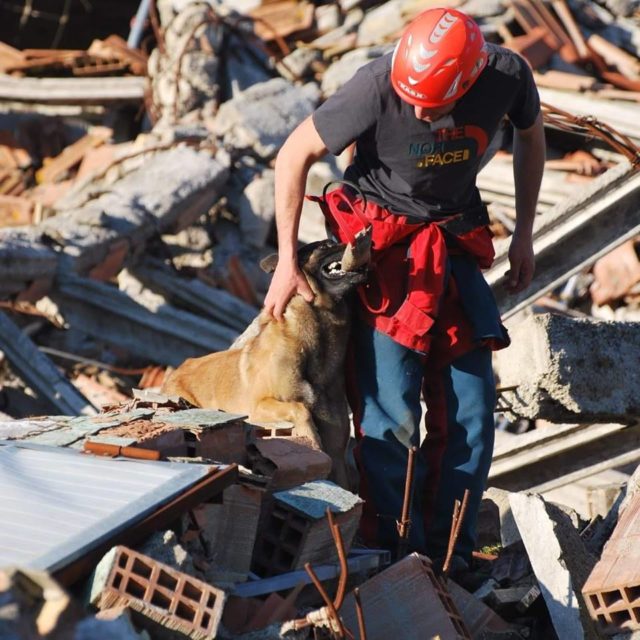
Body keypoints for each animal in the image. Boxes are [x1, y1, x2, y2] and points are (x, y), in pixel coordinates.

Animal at [160, 235, 370, 484]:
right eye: (325, 245)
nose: (357, 240)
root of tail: (177, 370)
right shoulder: (258, 407)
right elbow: (300, 408)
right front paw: (310, 438)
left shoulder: (338, 457)